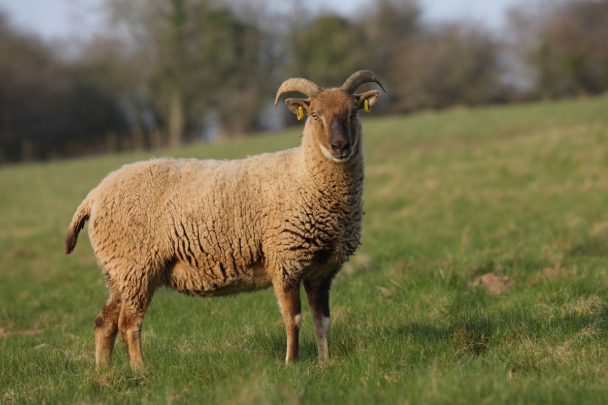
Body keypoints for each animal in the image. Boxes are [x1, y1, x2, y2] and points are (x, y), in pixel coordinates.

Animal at [65, 70, 384, 370]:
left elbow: (323, 322)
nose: (340, 146)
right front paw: (292, 363)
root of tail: (94, 195)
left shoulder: (322, 271)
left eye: (354, 112)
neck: (302, 175)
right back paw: (141, 370)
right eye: (314, 115)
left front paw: (325, 364)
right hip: (136, 267)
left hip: (119, 272)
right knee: (129, 323)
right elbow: (293, 319)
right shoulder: (285, 261)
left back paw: (105, 373)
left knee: (104, 323)